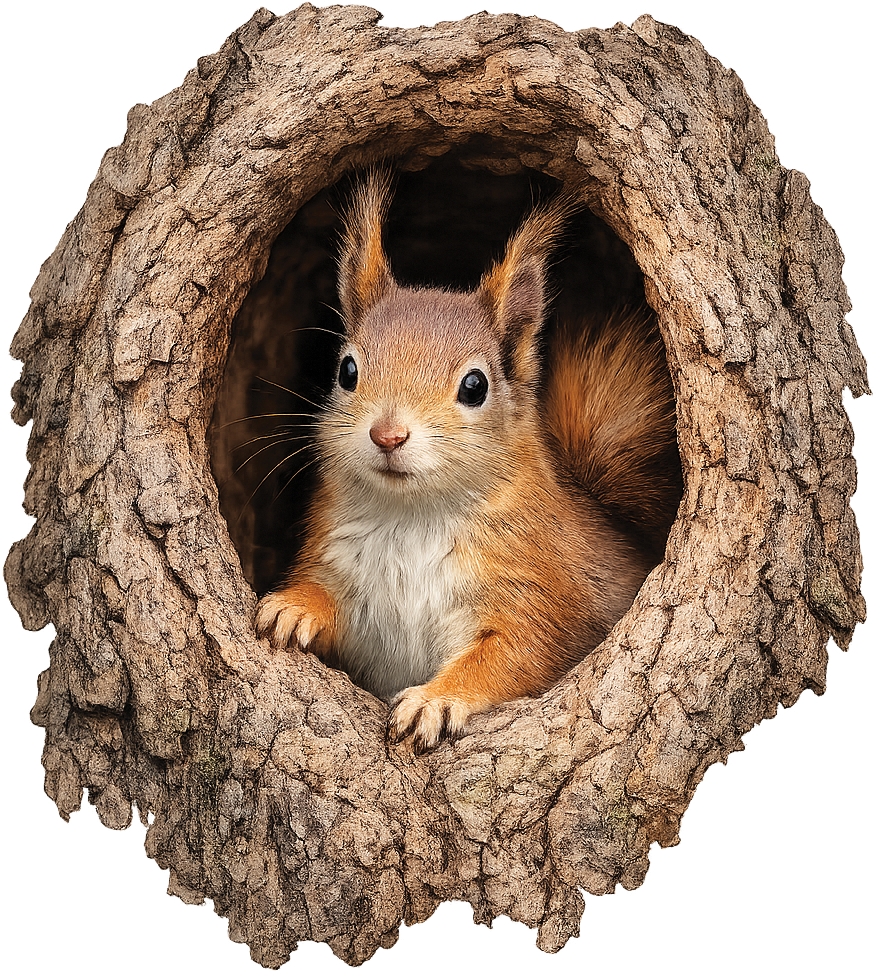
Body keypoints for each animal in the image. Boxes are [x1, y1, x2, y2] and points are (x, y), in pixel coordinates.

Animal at [255, 169, 682, 752]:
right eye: (346, 370)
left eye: (475, 386)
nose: (387, 434)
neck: (412, 517)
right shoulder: (346, 576)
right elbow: (329, 608)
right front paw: (296, 605)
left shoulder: (535, 595)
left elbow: (509, 656)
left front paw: (435, 700)